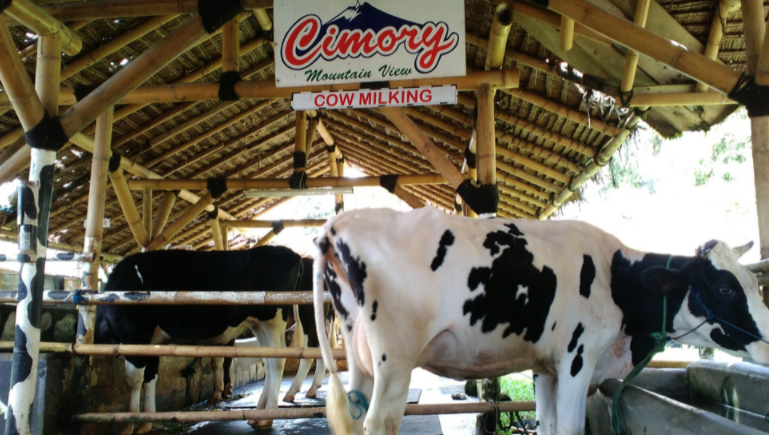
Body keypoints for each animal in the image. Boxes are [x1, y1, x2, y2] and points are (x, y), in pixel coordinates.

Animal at [96, 245, 303, 435]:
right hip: (259, 324)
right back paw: (258, 413)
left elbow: (132, 381)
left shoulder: (134, 335)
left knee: (277, 362)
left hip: (272, 318)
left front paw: (127, 425)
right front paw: (145, 422)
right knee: (268, 359)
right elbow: (150, 378)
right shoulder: (151, 343)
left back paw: (267, 416)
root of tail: (293, 254)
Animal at [311, 207, 769, 435]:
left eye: (752, 280)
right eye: (725, 289)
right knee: (379, 422)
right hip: (396, 359)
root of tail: (339, 221)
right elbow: (568, 427)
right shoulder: (577, 360)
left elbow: (547, 425)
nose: (768, 341)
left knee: (355, 414)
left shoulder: (545, 368)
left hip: (360, 356)